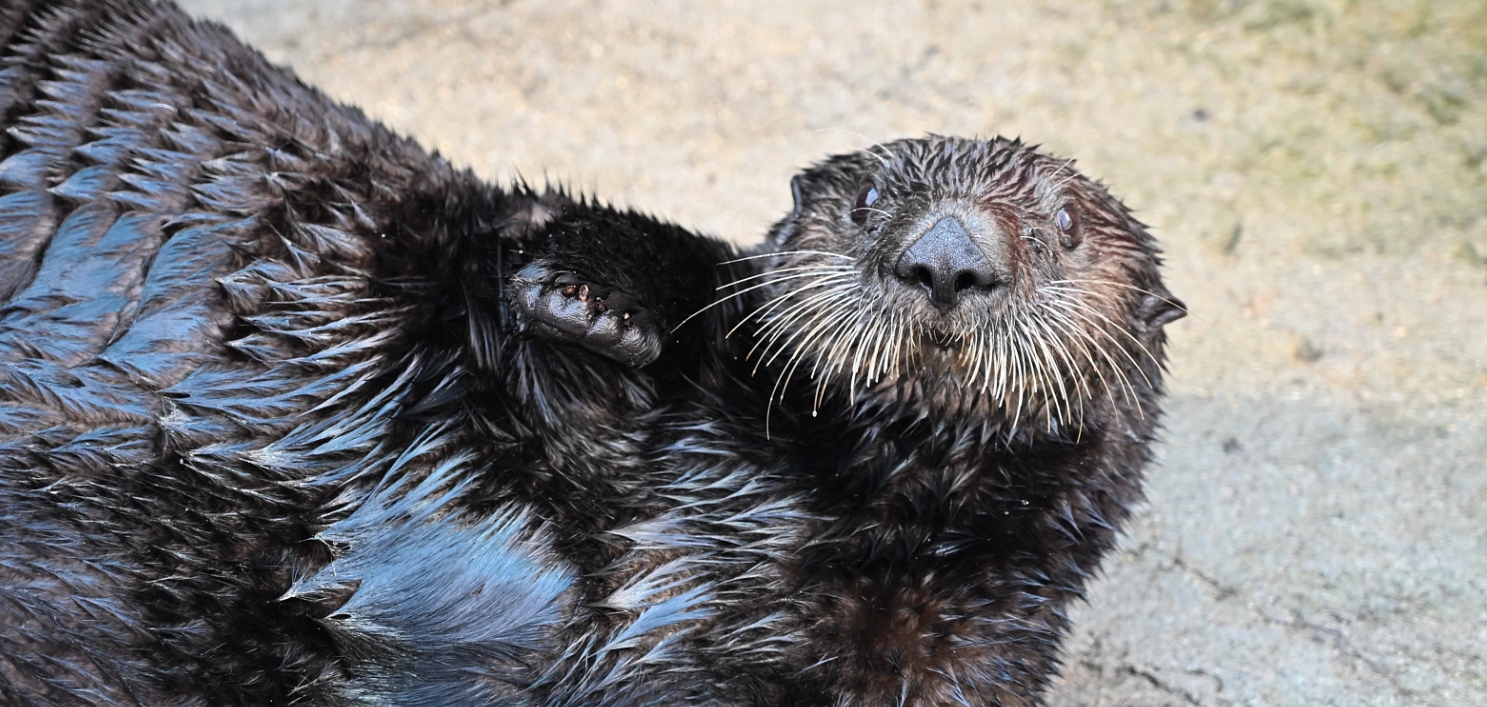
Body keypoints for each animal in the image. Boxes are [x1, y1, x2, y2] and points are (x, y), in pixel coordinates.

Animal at [0, 2, 1185, 706]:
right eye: (868, 201)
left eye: (1064, 226)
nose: (945, 257)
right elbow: (533, 240)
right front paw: (590, 303)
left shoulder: (935, 652)